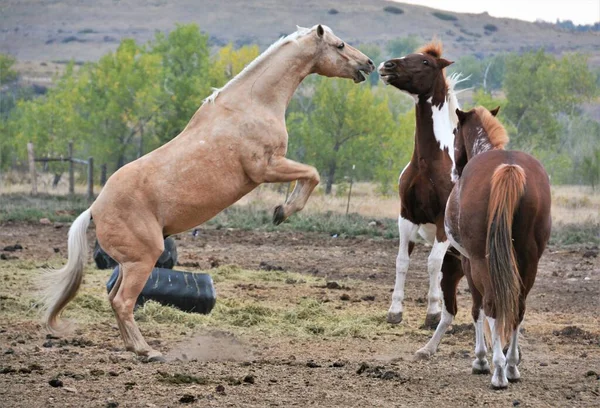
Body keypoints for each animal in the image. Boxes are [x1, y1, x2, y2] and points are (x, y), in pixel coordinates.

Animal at [38, 24, 376, 360]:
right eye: (339, 44)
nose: (369, 64)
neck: (253, 104)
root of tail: (94, 209)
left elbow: (310, 175)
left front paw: (282, 210)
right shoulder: (265, 168)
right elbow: (313, 174)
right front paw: (283, 212)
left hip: (127, 263)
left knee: (113, 298)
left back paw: (132, 346)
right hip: (143, 259)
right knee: (122, 301)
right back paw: (147, 350)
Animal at [380, 40, 464, 328]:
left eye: (426, 62)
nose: (386, 65)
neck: (430, 162)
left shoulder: (441, 224)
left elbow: (432, 263)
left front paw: (433, 313)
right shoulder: (407, 216)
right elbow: (402, 262)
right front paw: (395, 311)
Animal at [420, 106, 552, 388]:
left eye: (455, 131)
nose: (455, 169)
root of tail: (509, 167)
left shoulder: (469, 262)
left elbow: (477, 309)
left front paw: (481, 359)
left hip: (482, 261)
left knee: (491, 305)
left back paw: (499, 371)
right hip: (529, 261)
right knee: (518, 308)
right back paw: (511, 366)